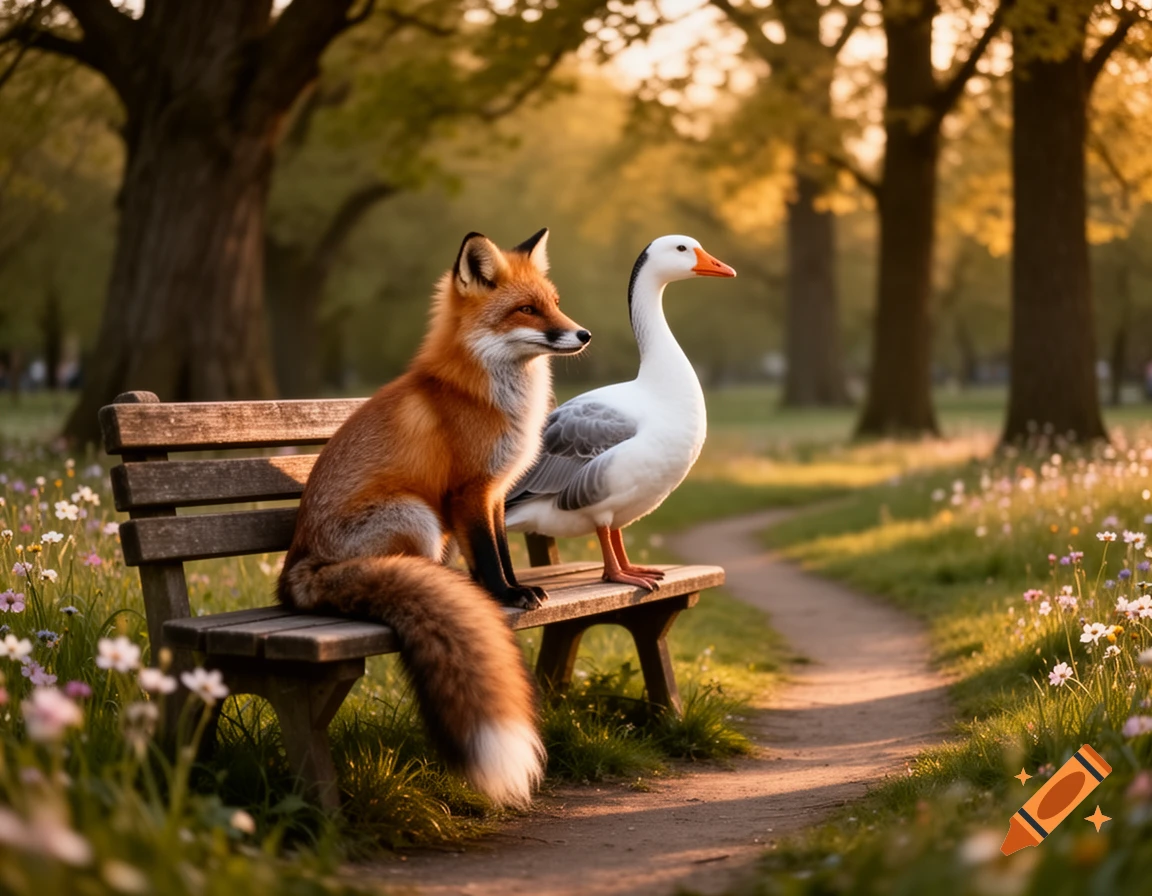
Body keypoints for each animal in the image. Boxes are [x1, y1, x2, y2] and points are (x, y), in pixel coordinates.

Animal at [277, 229, 590, 807]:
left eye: (554, 302)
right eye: (527, 309)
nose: (582, 334)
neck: (485, 394)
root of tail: (295, 576)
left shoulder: (494, 493)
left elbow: (501, 552)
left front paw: (516, 589)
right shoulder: (469, 492)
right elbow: (487, 558)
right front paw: (503, 596)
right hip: (419, 515)